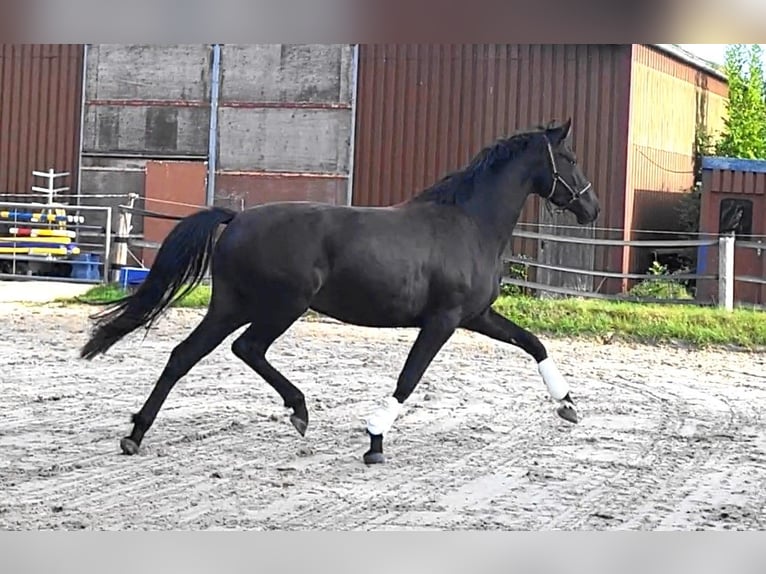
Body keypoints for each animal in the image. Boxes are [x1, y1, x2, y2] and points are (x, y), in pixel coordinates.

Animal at [80, 118, 600, 465]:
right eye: (571, 159)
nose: (591, 207)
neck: (469, 224)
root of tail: (237, 218)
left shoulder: (475, 316)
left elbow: (533, 343)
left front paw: (567, 405)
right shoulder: (443, 321)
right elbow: (408, 379)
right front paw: (375, 441)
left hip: (230, 306)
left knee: (183, 356)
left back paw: (137, 434)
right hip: (281, 306)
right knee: (246, 348)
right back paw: (298, 410)